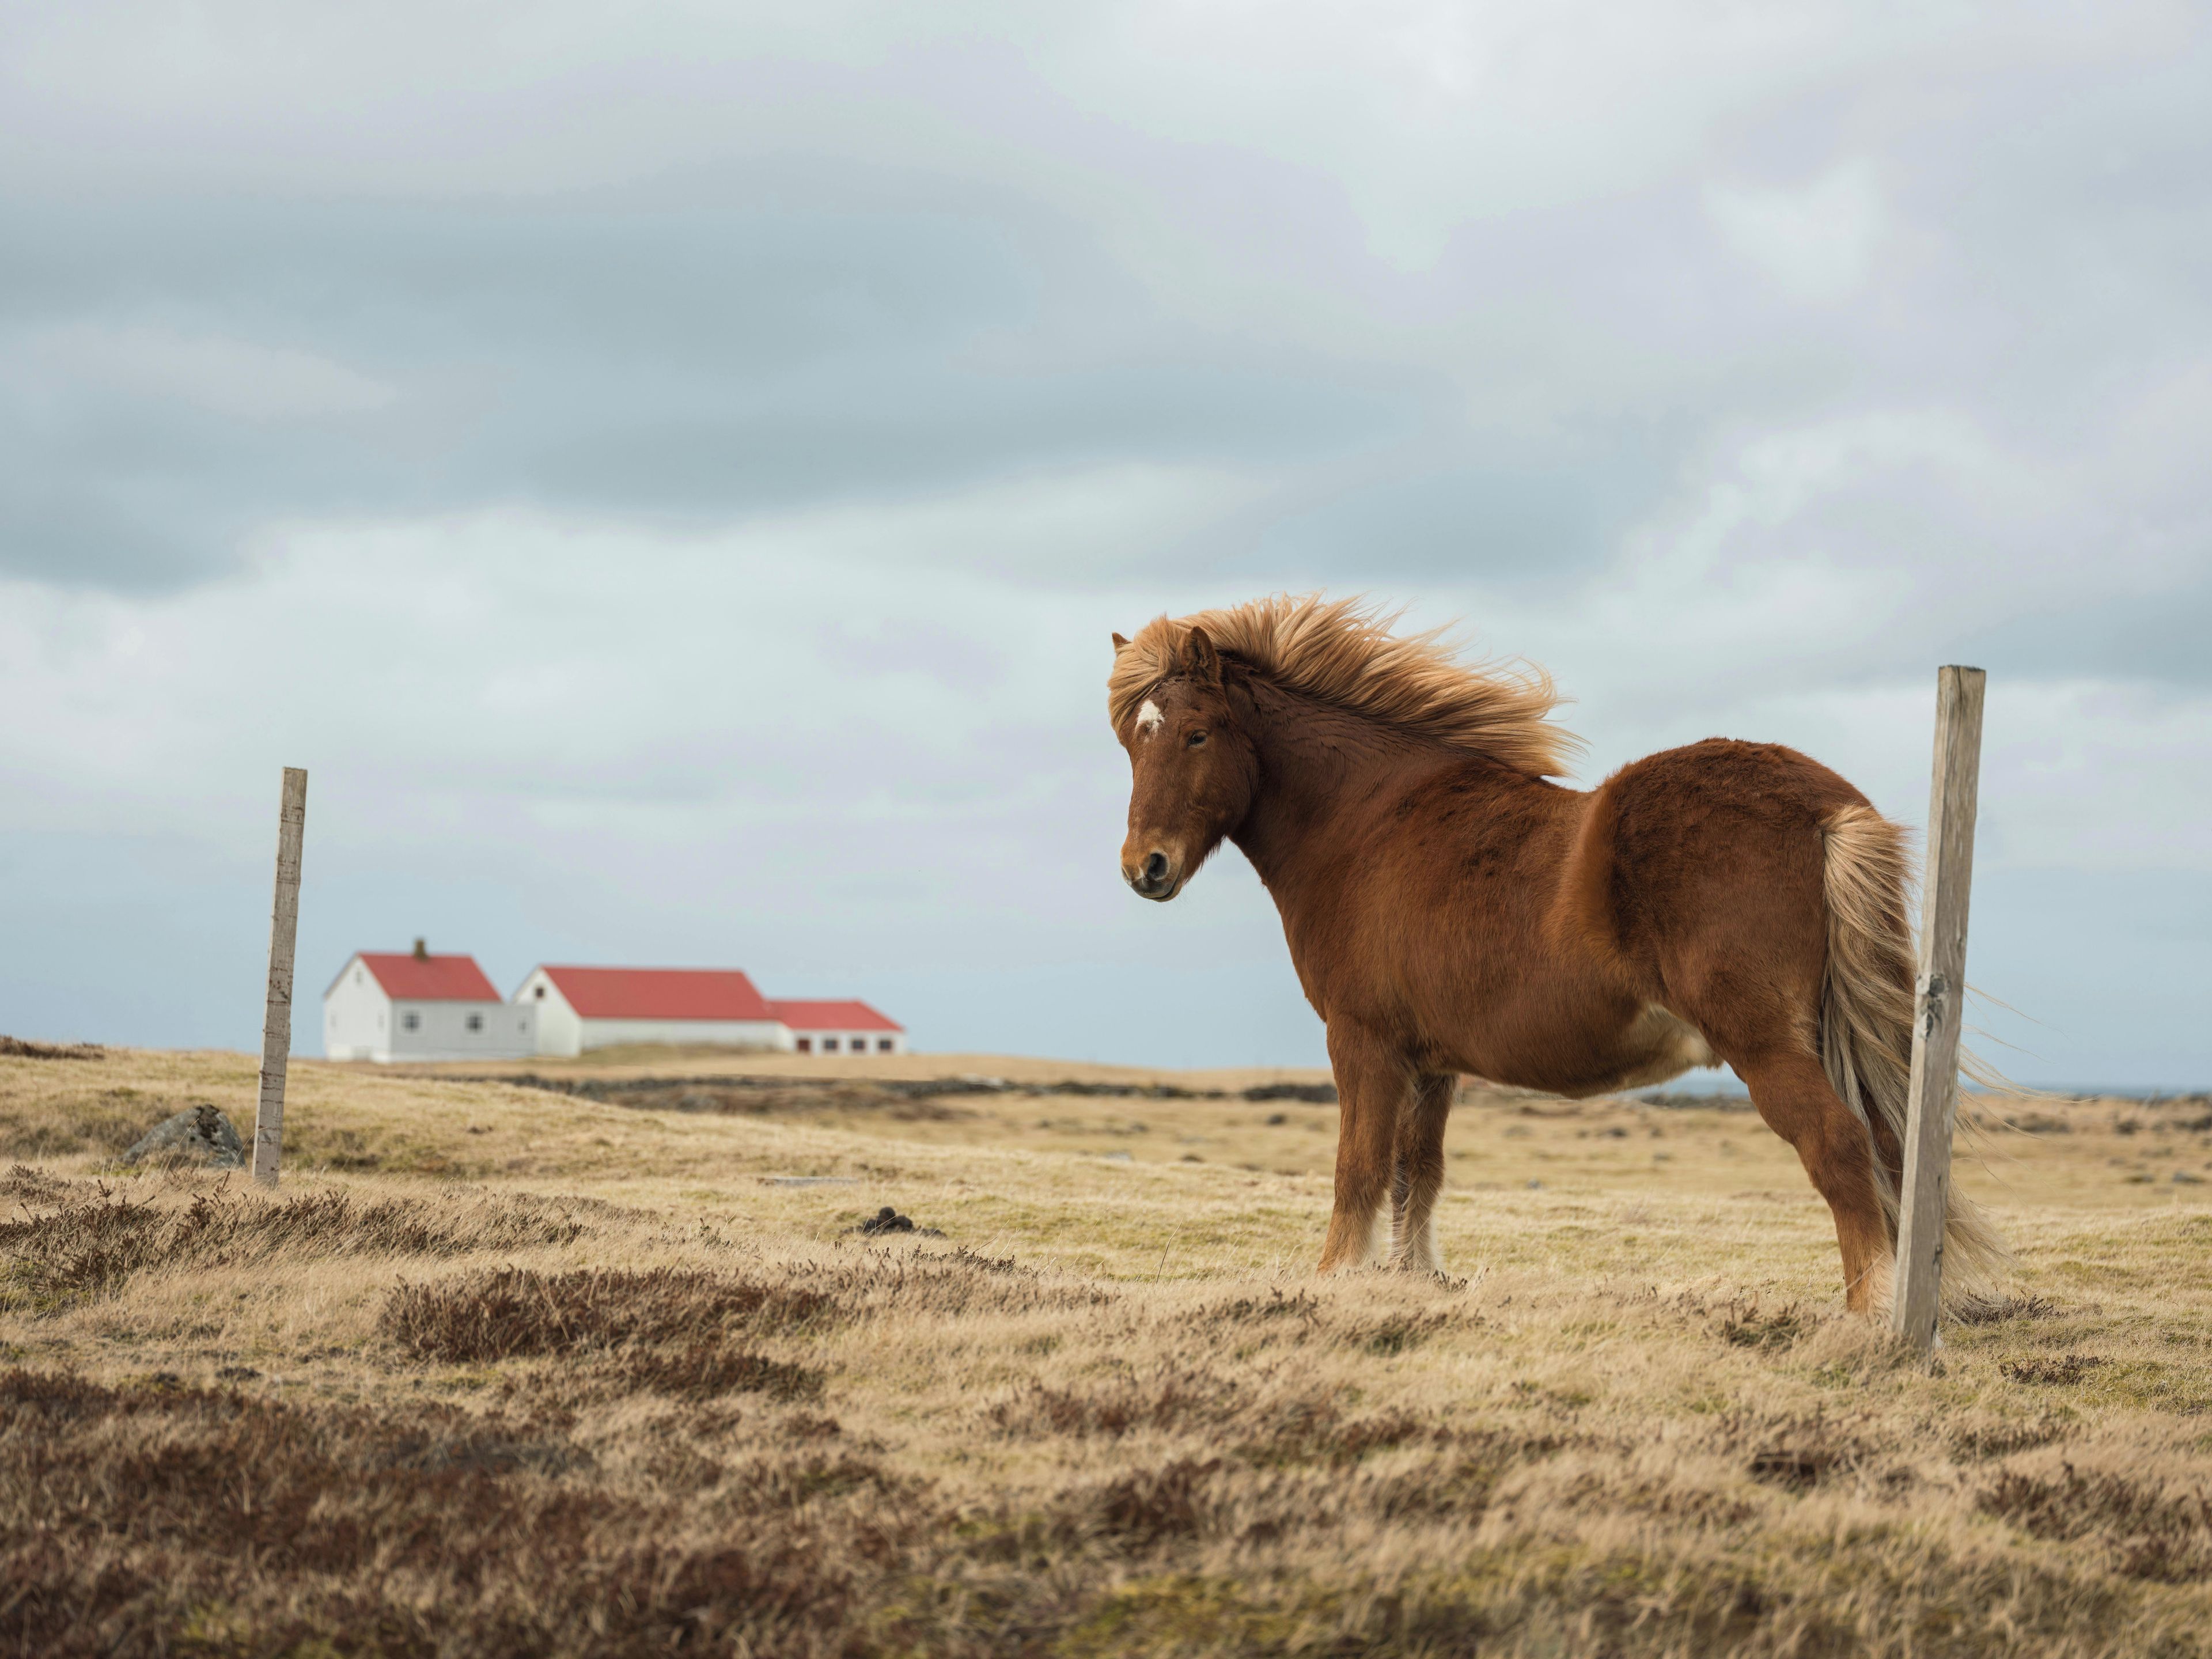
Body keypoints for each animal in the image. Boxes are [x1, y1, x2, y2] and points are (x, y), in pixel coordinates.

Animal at [1107, 593, 2004, 1315]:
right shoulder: (1430, 1064)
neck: (1368, 823)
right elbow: (1416, 1175)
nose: (1144, 868)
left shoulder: (1362, 1045)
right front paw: (1413, 1282)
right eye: (1133, 744)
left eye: (1196, 734)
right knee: (1888, 1151)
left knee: (1842, 1149)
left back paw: (1864, 1322)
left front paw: (1333, 1285)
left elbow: (1357, 1172)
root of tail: (1823, 807)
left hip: (1767, 1046)